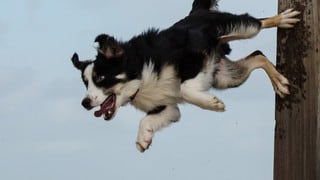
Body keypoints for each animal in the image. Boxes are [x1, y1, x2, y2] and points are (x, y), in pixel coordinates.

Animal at [70, 0, 300, 153]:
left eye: (101, 79)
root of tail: (196, 11)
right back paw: (279, 83)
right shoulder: (167, 107)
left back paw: (284, 19)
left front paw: (212, 103)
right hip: (226, 77)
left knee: (257, 23)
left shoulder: (194, 57)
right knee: (258, 56)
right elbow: (149, 119)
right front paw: (143, 138)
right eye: (85, 83)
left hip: (236, 28)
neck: (140, 74)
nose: (84, 103)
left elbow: (185, 89)